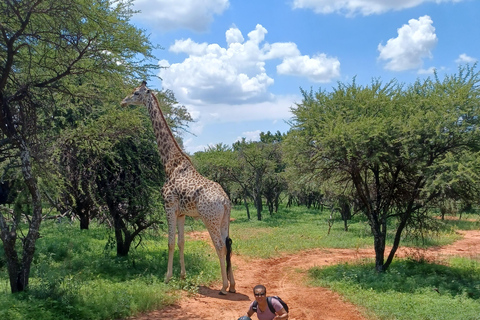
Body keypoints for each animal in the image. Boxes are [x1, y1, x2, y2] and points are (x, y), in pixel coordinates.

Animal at [121, 82, 235, 296]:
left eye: (136, 93)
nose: (123, 102)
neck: (170, 163)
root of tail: (225, 201)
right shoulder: (181, 213)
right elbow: (182, 242)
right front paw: (182, 277)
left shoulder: (169, 206)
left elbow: (170, 242)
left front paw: (167, 278)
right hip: (225, 220)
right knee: (228, 244)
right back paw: (232, 285)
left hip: (210, 219)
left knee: (219, 246)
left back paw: (224, 287)